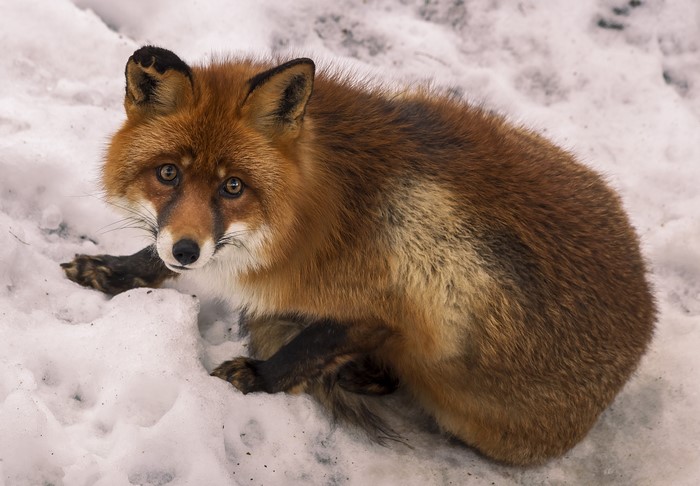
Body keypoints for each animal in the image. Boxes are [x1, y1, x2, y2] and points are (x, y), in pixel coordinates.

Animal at [62, 45, 655, 466]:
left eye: (233, 187)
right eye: (168, 174)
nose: (186, 250)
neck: (322, 211)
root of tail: (648, 307)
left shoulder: (399, 309)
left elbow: (306, 349)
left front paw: (257, 377)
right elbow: (154, 256)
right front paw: (115, 271)